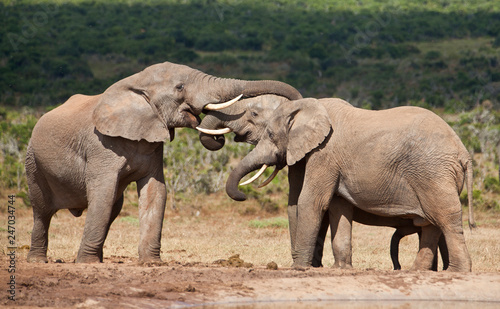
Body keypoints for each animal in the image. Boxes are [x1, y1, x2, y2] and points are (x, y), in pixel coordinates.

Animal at [25, 61, 300, 264]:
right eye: (179, 87)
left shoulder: (153, 142)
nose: (221, 138)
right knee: (42, 210)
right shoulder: (100, 146)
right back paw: (38, 260)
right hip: (32, 161)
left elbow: (155, 192)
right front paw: (88, 264)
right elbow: (102, 193)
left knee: (113, 207)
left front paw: (151, 263)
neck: (135, 83)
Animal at [199, 94, 454, 270]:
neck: (307, 105)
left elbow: (309, 201)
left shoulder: (324, 154)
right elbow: (301, 203)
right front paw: (322, 266)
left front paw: (300, 268)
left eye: (254, 116)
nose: (243, 195)